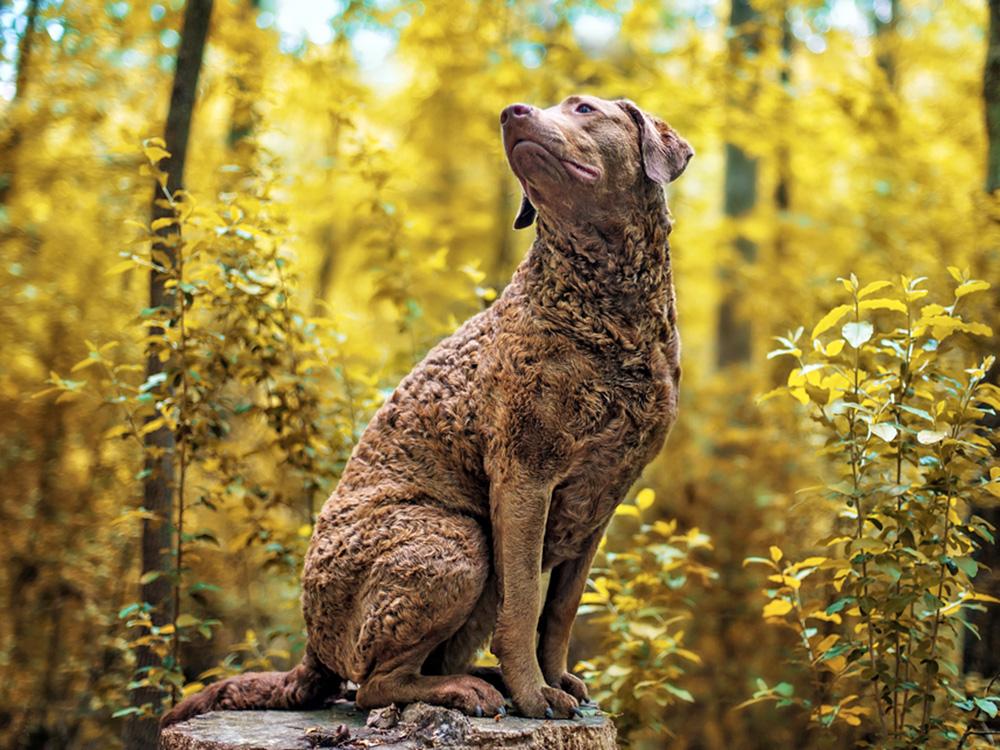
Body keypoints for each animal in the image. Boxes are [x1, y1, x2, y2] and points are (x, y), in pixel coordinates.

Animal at [166, 94, 696, 728]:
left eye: (585, 108)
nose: (512, 111)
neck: (605, 309)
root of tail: (310, 648)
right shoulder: (524, 476)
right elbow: (524, 604)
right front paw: (536, 695)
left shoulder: (602, 499)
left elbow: (560, 612)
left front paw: (558, 679)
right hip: (454, 541)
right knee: (374, 683)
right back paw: (470, 690)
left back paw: (480, 678)